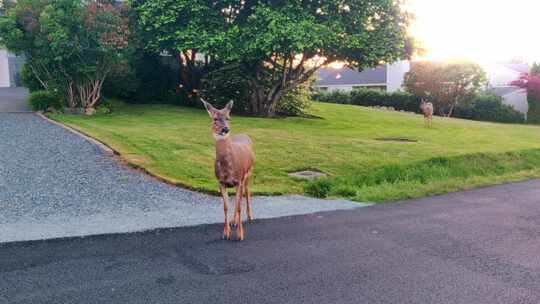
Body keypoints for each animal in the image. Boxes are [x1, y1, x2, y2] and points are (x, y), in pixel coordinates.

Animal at [201, 98, 256, 241]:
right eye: (215, 118)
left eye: (228, 118)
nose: (225, 129)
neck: (228, 169)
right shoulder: (220, 182)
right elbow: (226, 206)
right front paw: (226, 233)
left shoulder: (239, 180)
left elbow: (238, 206)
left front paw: (240, 235)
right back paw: (234, 221)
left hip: (249, 173)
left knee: (246, 193)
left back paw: (250, 216)